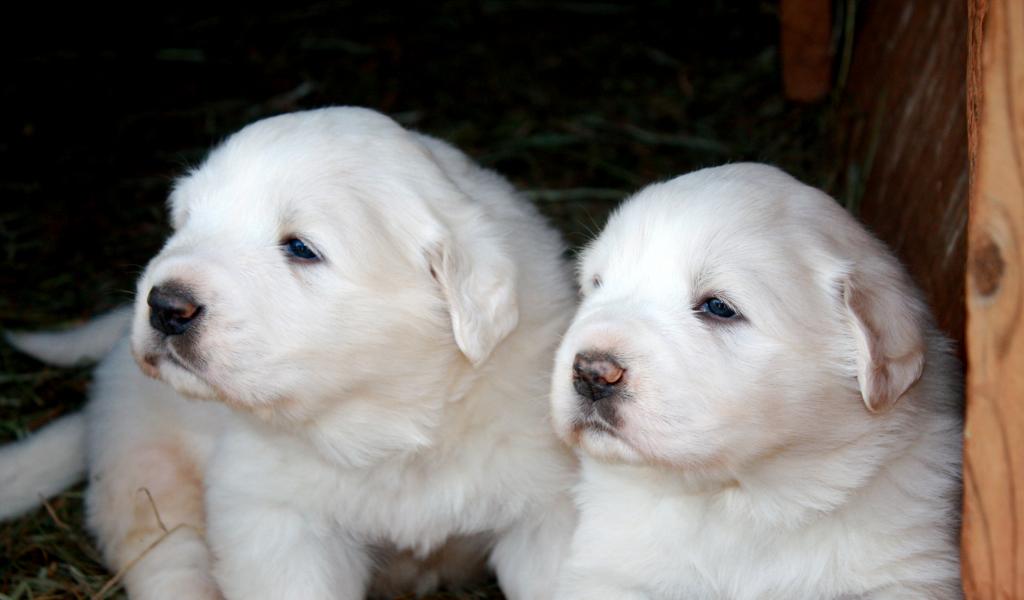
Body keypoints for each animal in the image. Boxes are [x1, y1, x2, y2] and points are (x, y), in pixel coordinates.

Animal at [1, 107, 579, 599]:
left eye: (301, 248)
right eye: (186, 221)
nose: (164, 305)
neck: (391, 428)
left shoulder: (548, 516)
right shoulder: (277, 521)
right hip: (145, 469)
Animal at [550, 163, 963, 599]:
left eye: (719, 307)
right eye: (597, 285)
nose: (591, 372)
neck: (740, 501)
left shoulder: (900, 574)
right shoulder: (611, 573)